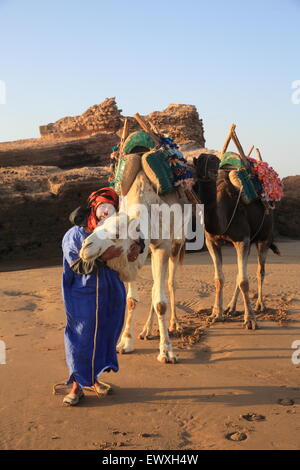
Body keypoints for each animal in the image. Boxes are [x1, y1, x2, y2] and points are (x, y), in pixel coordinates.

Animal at [193, 151, 280, 330]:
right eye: (198, 164)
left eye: (215, 162)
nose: (210, 174)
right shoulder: (212, 242)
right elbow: (219, 278)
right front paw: (216, 315)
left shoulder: (243, 240)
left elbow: (244, 281)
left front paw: (251, 320)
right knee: (241, 272)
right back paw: (230, 308)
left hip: (265, 237)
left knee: (260, 270)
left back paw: (260, 304)